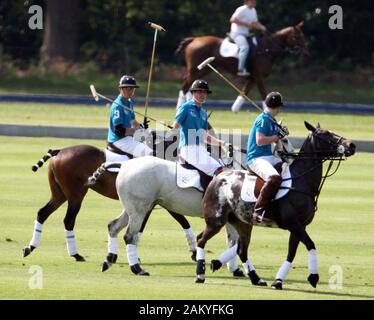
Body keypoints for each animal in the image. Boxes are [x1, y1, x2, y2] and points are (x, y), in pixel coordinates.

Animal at [105, 156, 266, 284]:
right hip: (140, 209)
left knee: (113, 226)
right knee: (129, 236)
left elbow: (233, 241)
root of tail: (125, 165)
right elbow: (236, 242)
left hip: (134, 209)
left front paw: (229, 267)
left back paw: (109, 260)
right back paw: (138, 269)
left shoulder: (230, 219)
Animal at [175, 21, 306, 104]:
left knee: (189, 84)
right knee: (185, 85)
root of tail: (193, 39)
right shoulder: (258, 76)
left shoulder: (253, 78)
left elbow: (243, 93)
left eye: (302, 35)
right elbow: (264, 95)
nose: (305, 51)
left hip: (204, 69)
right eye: (297, 36)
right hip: (196, 69)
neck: (267, 49)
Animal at [194, 122, 356, 288]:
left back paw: (256, 279)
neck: (301, 181)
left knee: (241, 250)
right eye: (326, 134)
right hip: (216, 220)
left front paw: (278, 281)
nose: (352, 145)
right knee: (201, 240)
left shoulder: (299, 226)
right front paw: (313, 277)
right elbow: (311, 244)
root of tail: (218, 176)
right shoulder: (293, 224)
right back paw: (200, 275)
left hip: (243, 223)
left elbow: (291, 253)